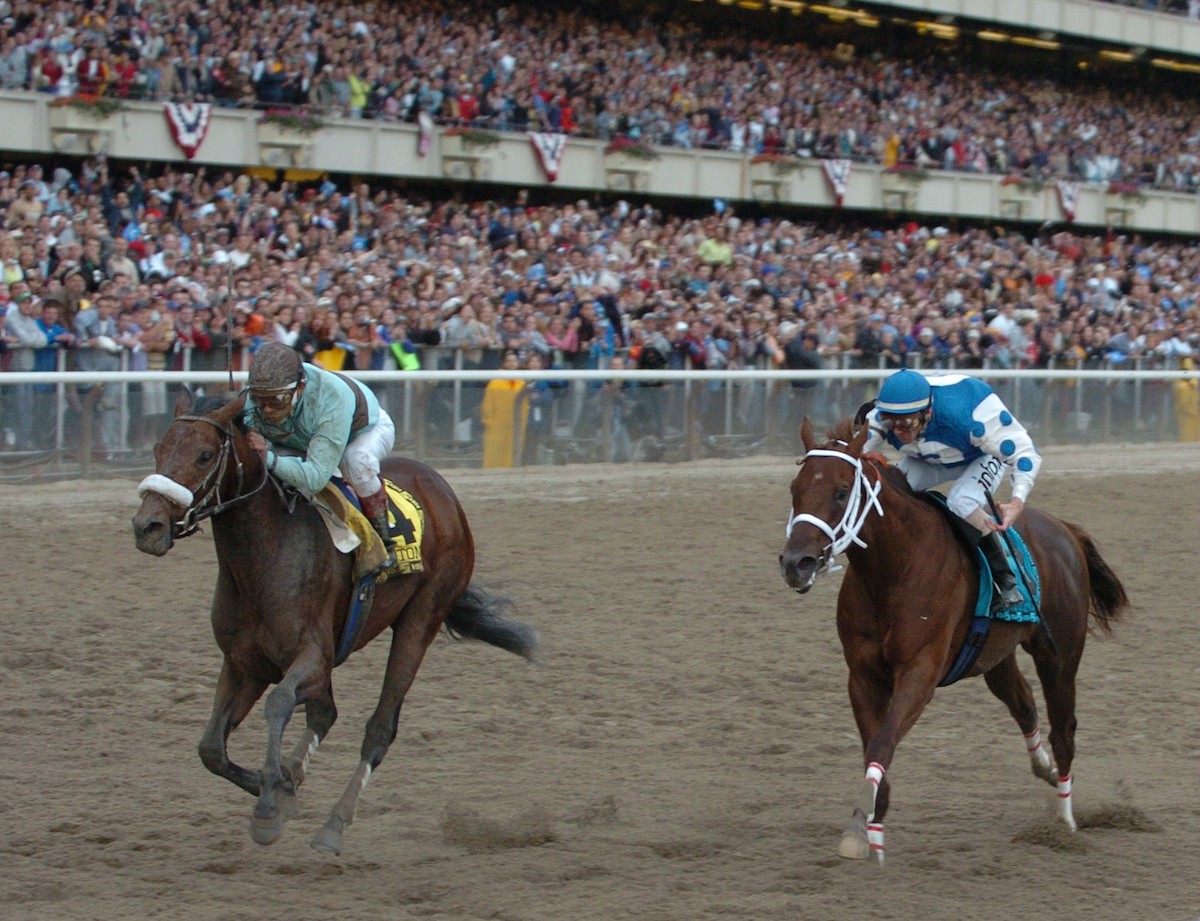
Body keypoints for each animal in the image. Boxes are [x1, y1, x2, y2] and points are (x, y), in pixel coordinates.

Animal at [130, 388, 535, 853]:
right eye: (158, 449)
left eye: (204, 455)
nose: (147, 526)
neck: (264, 557)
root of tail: (442, 489)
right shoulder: (243, 664)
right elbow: (211, 747)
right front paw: (281, 787)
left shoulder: (313, 656)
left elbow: (279, 703)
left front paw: (270, 803)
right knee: (325, 714)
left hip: (421, 619)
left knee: (379, 729)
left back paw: (333, 823)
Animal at [777, 419, 1123, 863]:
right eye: (795, 488)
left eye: (840, 491)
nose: (796, 564)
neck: (894, 567)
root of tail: (1066, 530)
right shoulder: (862, 675)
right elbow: (874, 745)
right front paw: (871, 830)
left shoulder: (920, 672)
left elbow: (883, 742)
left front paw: (858, 827)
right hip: (995, 655)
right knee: (1023, 703)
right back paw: (1043, 768)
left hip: (1058, 655)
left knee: (1064, 730)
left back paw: (1064, 822)